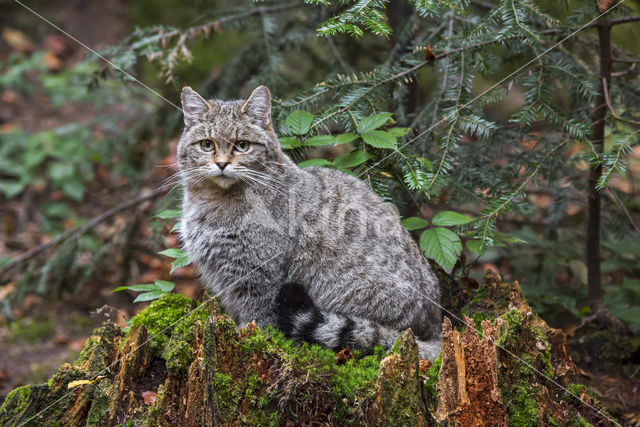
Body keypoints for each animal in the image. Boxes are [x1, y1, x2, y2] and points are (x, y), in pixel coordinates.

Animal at [178, 86, 442, 362]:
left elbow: (259, 319)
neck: (215, 200)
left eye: (242, 145)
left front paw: (251, 342)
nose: (221, 164)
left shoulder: (260, 276)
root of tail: (435, 328)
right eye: (207, 144)